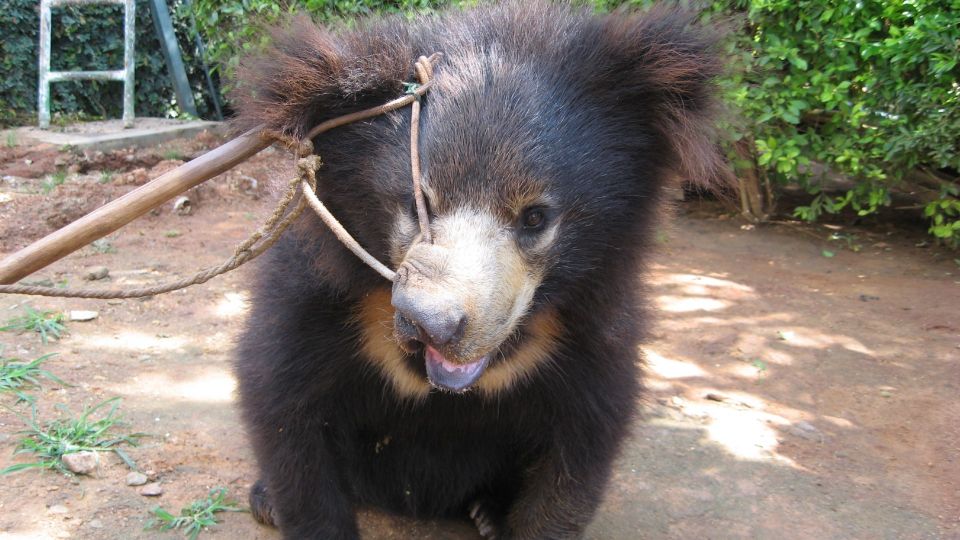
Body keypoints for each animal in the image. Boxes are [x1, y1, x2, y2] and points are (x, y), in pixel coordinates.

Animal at [232, 2, 725, 538]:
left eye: (536, 217)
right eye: (417, 203)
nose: (432, 323)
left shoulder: (594, 324)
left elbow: (580, 441)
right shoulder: (312, 294)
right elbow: (285, 406)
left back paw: (487, 512)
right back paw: (264, 500)